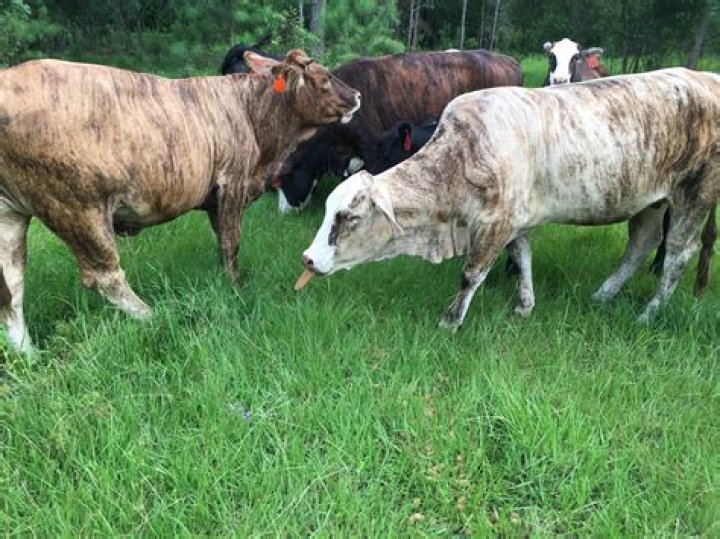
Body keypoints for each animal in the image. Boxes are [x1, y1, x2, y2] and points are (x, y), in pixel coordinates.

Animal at [0, 49, 360, 352]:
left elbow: (223, 244)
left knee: (11, 288)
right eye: (324, 77)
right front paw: (235, 286)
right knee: (104, 276)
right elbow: (231, 244)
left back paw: (28, 355)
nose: (357, 96)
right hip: (77, 207)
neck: (252, 113)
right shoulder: (233, 184)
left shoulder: (217, 199)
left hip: (11, 214)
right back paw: (154, 316)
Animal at [301, 68, 718, 328]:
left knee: (677, 255)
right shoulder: (516, 220)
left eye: (348, 217)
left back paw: (648, 314)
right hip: (650, 201)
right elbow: (523, 257)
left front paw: (450, 321)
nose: (307, 258)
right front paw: (524, 306)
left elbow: (471, 274)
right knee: (641, 244)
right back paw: (603, 295)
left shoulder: (495, 223)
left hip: (694, 194)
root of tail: (708, 78)